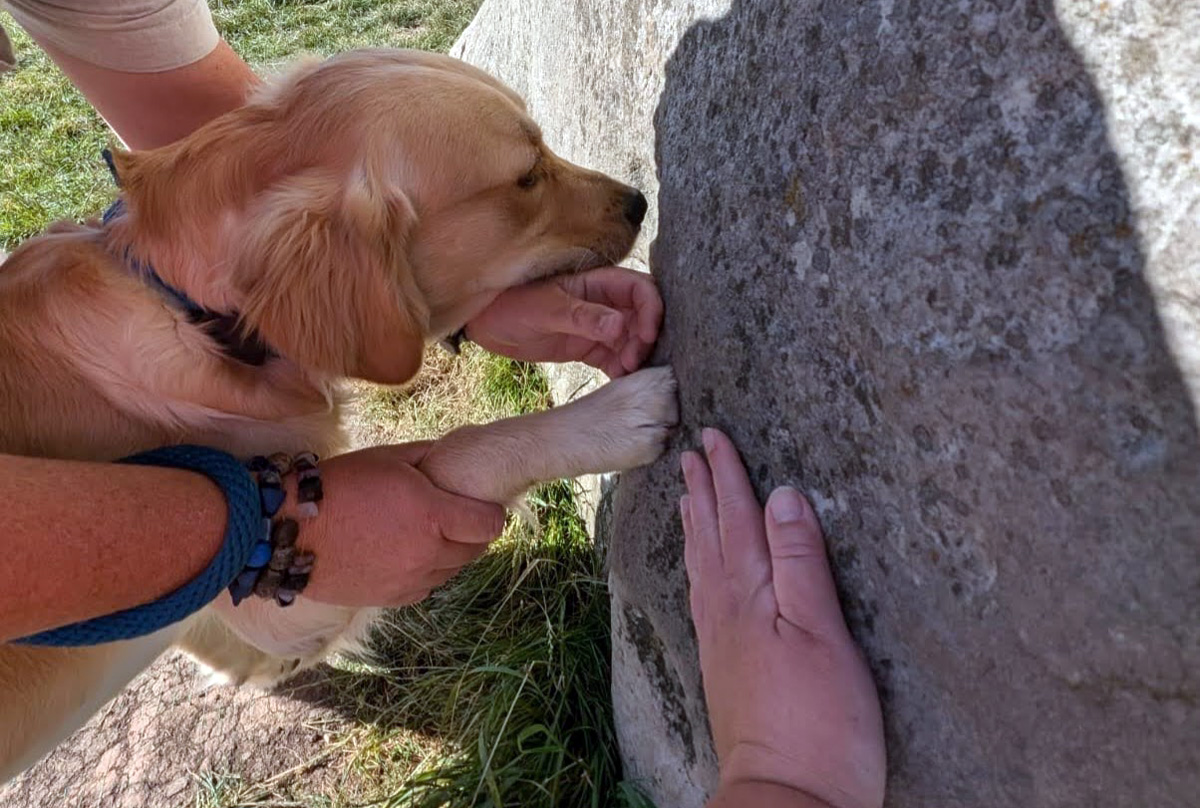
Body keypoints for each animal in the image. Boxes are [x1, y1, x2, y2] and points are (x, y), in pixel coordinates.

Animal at [0, 50, 676, 782]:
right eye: (526, 176)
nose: (640, 202)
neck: (195, 315)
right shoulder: (288, 609)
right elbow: (468, 447)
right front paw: (613, 416)